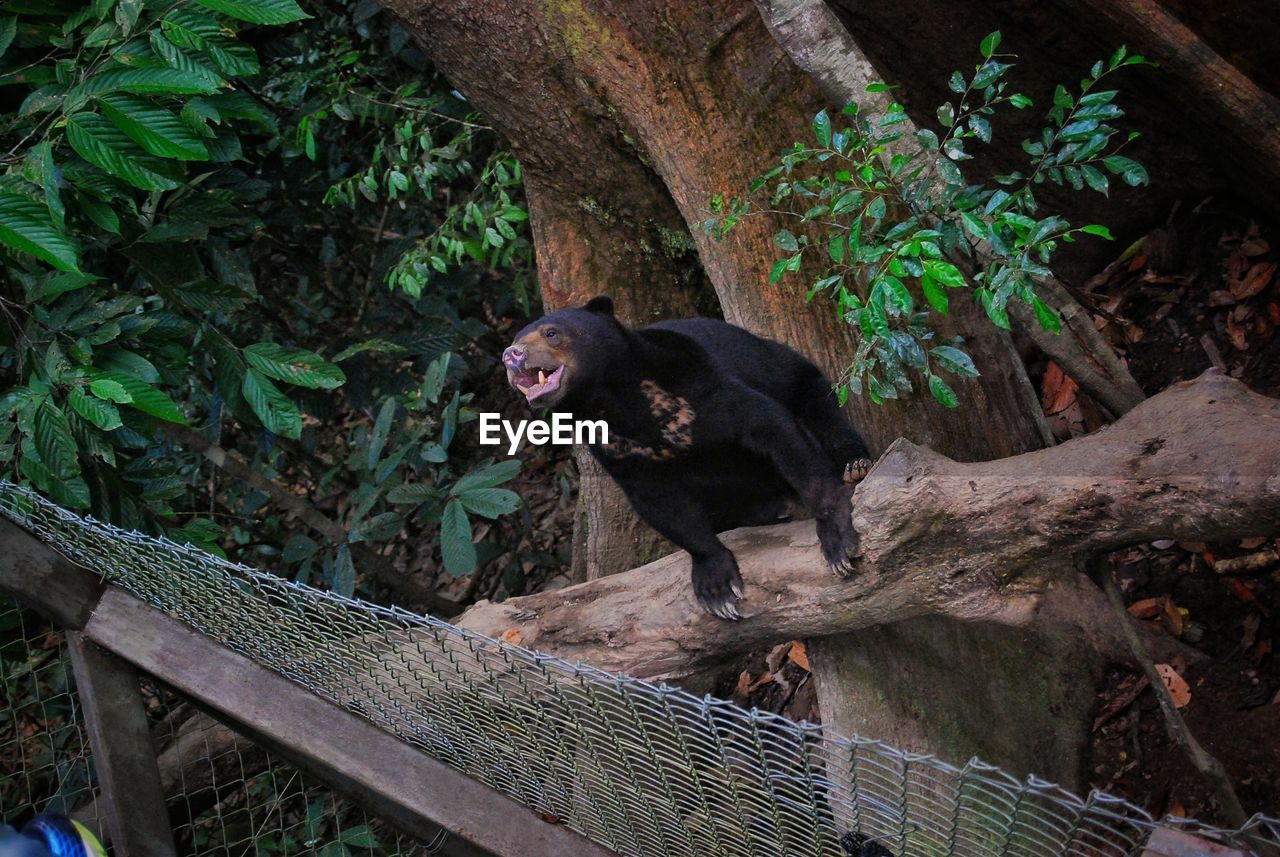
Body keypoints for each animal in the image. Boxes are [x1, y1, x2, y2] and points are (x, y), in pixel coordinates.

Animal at [504, 299, 875, 621]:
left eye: (551, 332)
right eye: (514, 340)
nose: (512, 355)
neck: (617, 403)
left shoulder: (702, 387)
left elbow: (772, 427)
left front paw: (838, 541)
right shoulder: (614, 449)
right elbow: (662, 506)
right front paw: (718, 589)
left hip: (794, 375)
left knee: (820, 407)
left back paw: (855, 467)